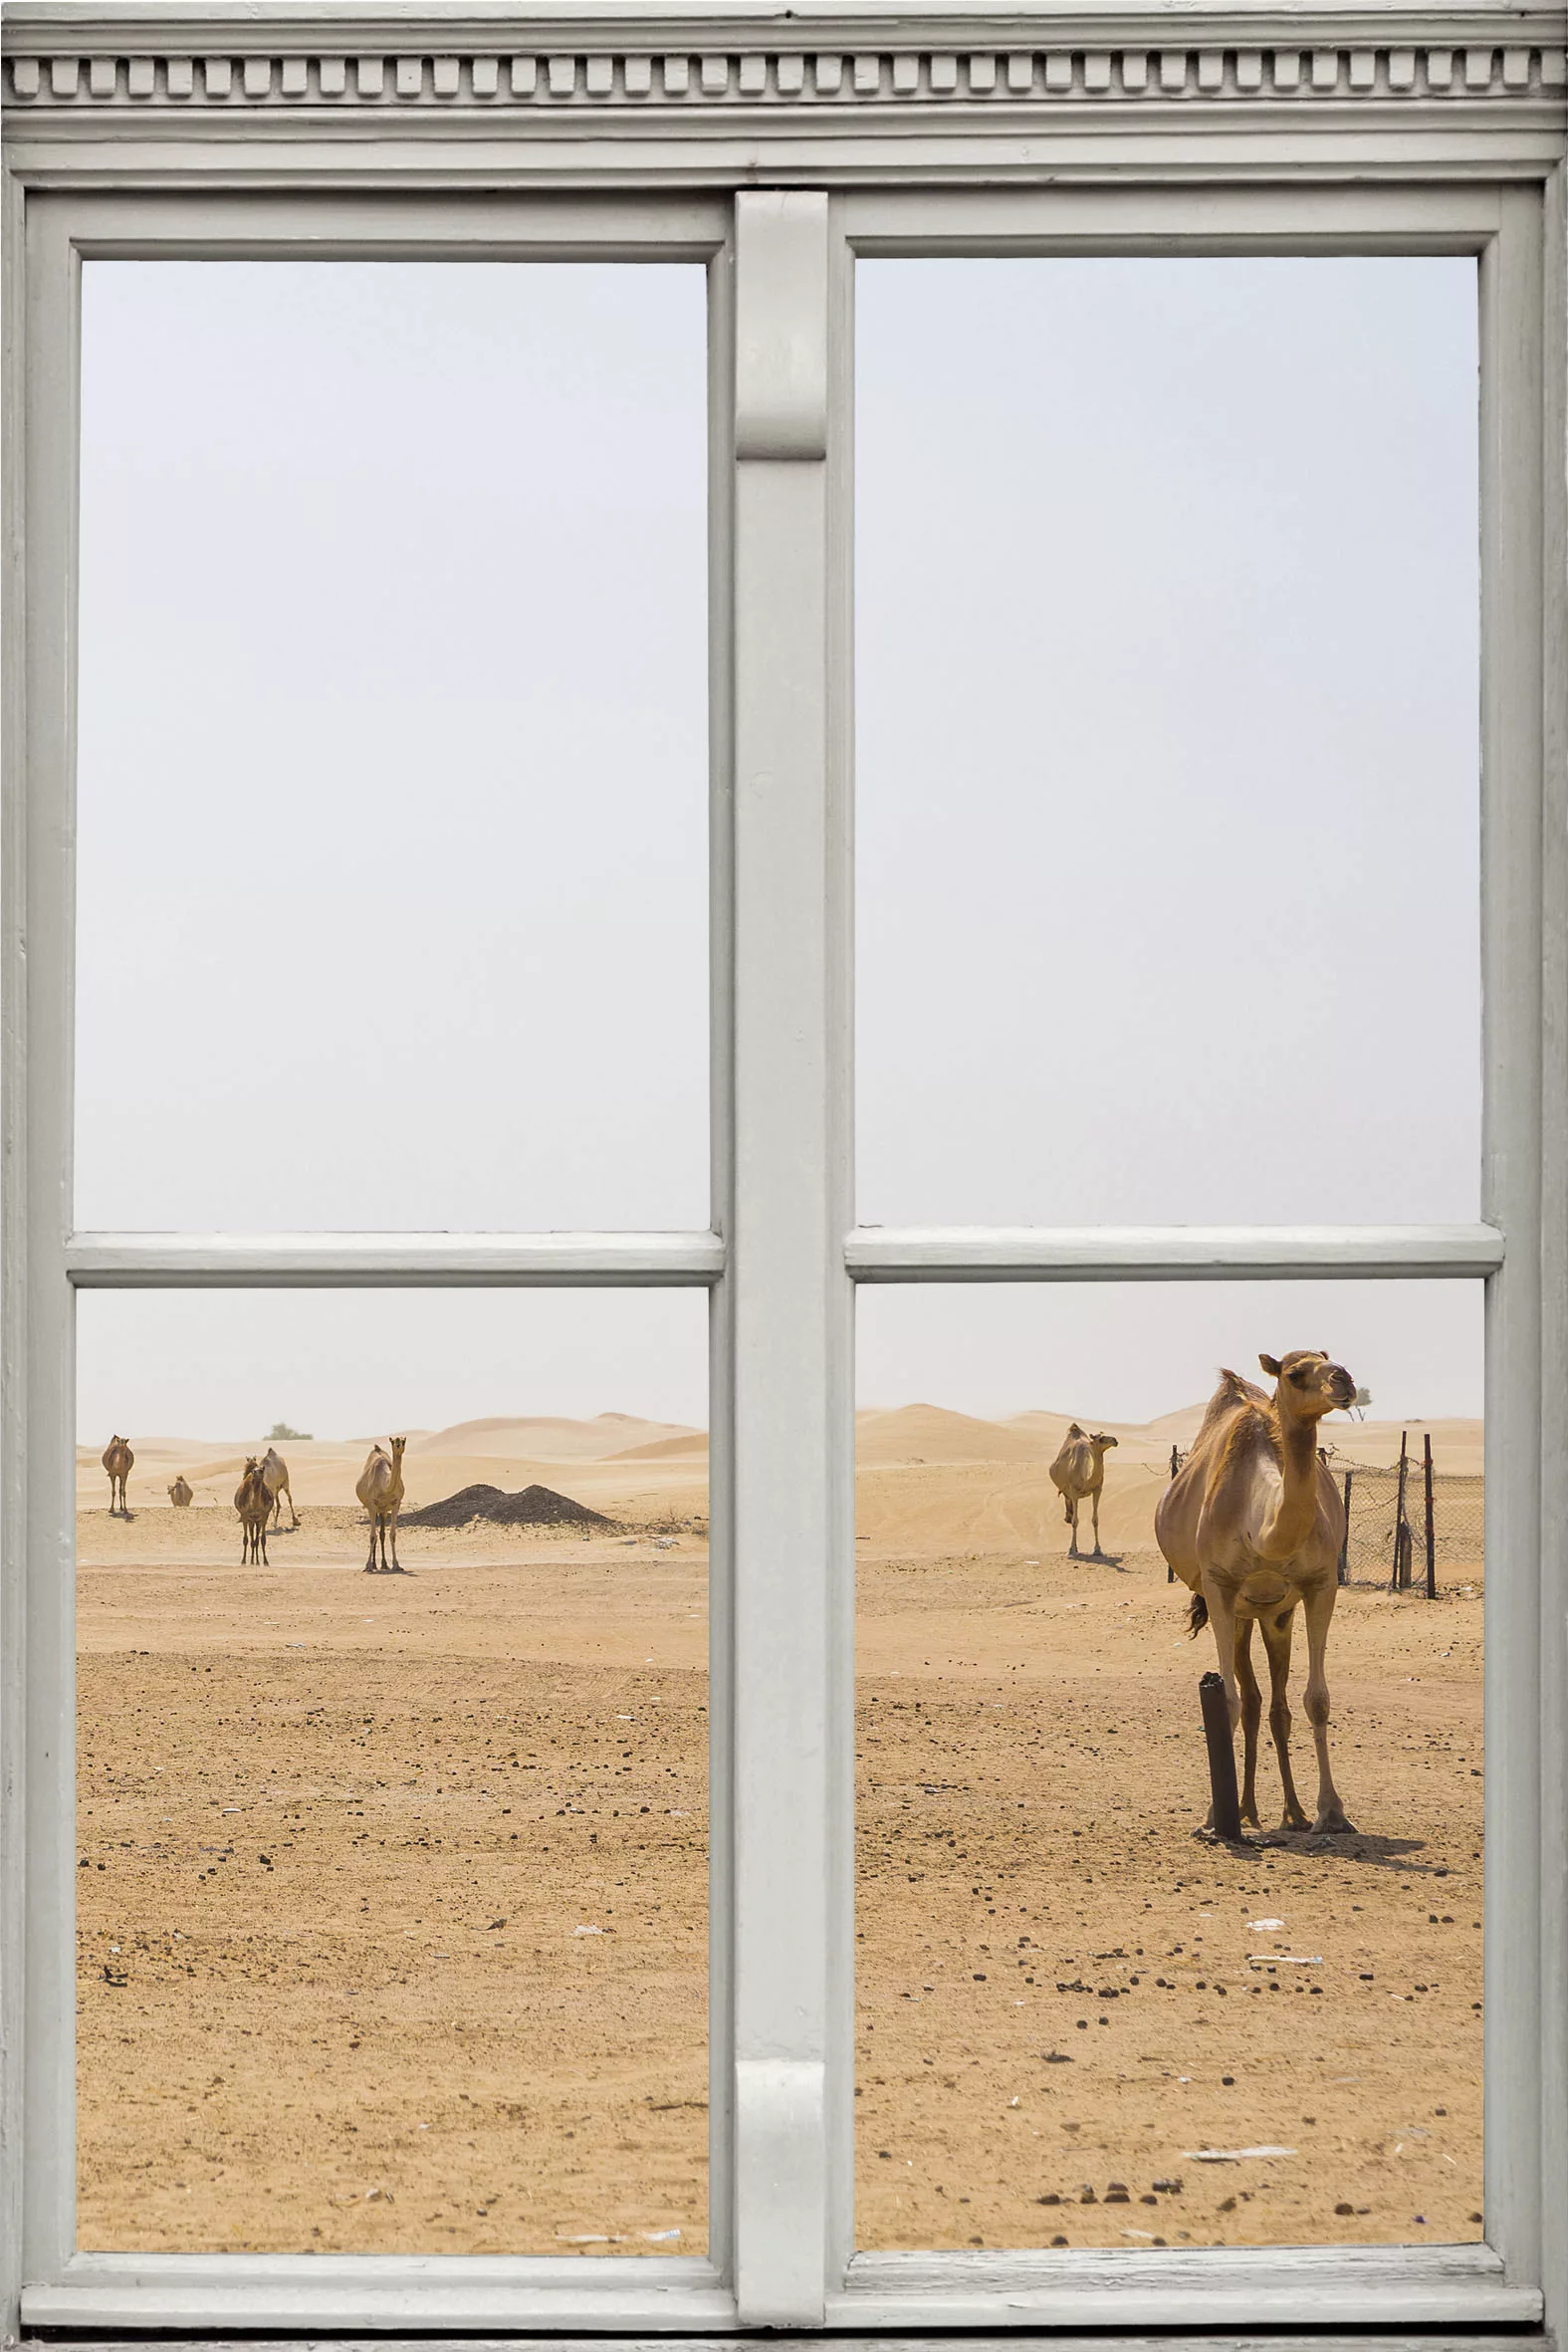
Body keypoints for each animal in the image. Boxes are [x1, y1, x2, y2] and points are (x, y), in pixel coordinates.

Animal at [354, 1430, 404, 1580]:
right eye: (393, 1441)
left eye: (404, 1440)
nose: (399, 1444)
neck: (385, 1487)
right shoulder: (371, 1505)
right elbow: (372, 1536)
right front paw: (368, 1566)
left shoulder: (395, 1504)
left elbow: (392, 1534)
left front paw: (396, 1565)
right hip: (374, 1509)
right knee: (375, 1534)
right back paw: (375, 1564)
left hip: (383, 1511)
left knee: (381, 1534)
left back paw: (383, 1564)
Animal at [1048, 1420, 1123, 1551]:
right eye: (1101, 1438)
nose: (1115, 1440)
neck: (1086, 1478)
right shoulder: (1074, 1490)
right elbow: (1075, 1521)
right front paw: (1072, 1548)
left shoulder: (1098, 1489)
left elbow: (1095, 1520)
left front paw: (1097, 1549)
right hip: (1069, 1491)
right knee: (1068, 1501)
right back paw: (1068, 1518)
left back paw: (1067, 1517)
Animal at [1152, 1345, 1363, 1834]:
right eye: (1296, 1373)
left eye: (1333, 1359)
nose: (1343, 1380)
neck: (1262, 1528)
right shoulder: (1218, 1585)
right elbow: (1226, 1702)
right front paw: (1214, 1817)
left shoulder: (1322, 1583)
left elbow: (1317, 1700)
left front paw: (1331, 1813)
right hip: (1237, 1609)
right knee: (1248, 1701)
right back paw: (1244, 1810)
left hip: (1273, 1612)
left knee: (1274, 1707)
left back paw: (1289, 1812)